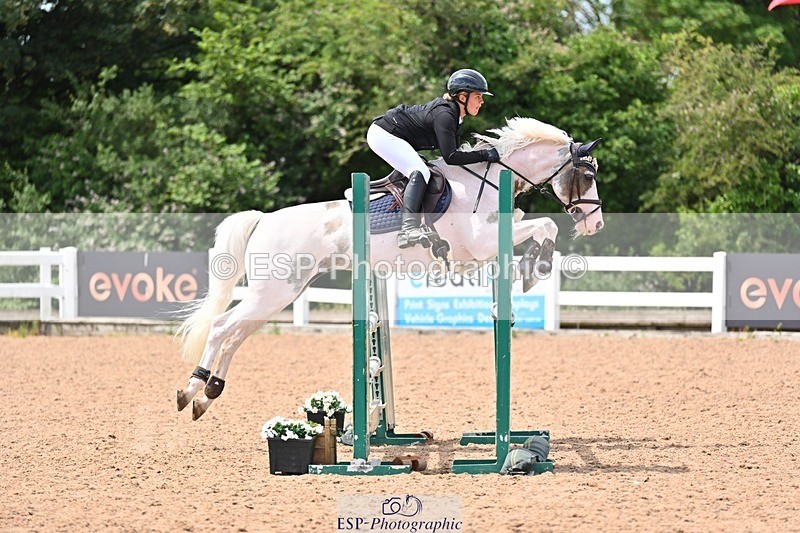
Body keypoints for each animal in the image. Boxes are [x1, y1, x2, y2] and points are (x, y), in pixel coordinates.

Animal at [176, 117, 605, 420]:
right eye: (586, 176)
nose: (596, 225)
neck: (487, 183)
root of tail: (264, 219)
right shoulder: (483, 242)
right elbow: (545, 225)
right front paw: (536, 267)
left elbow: (539, 231)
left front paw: (532, 267)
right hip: (274, 291)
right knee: (222, 327)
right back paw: (190, 390)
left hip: (279, 294)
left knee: (236, 334)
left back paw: (209, 394)